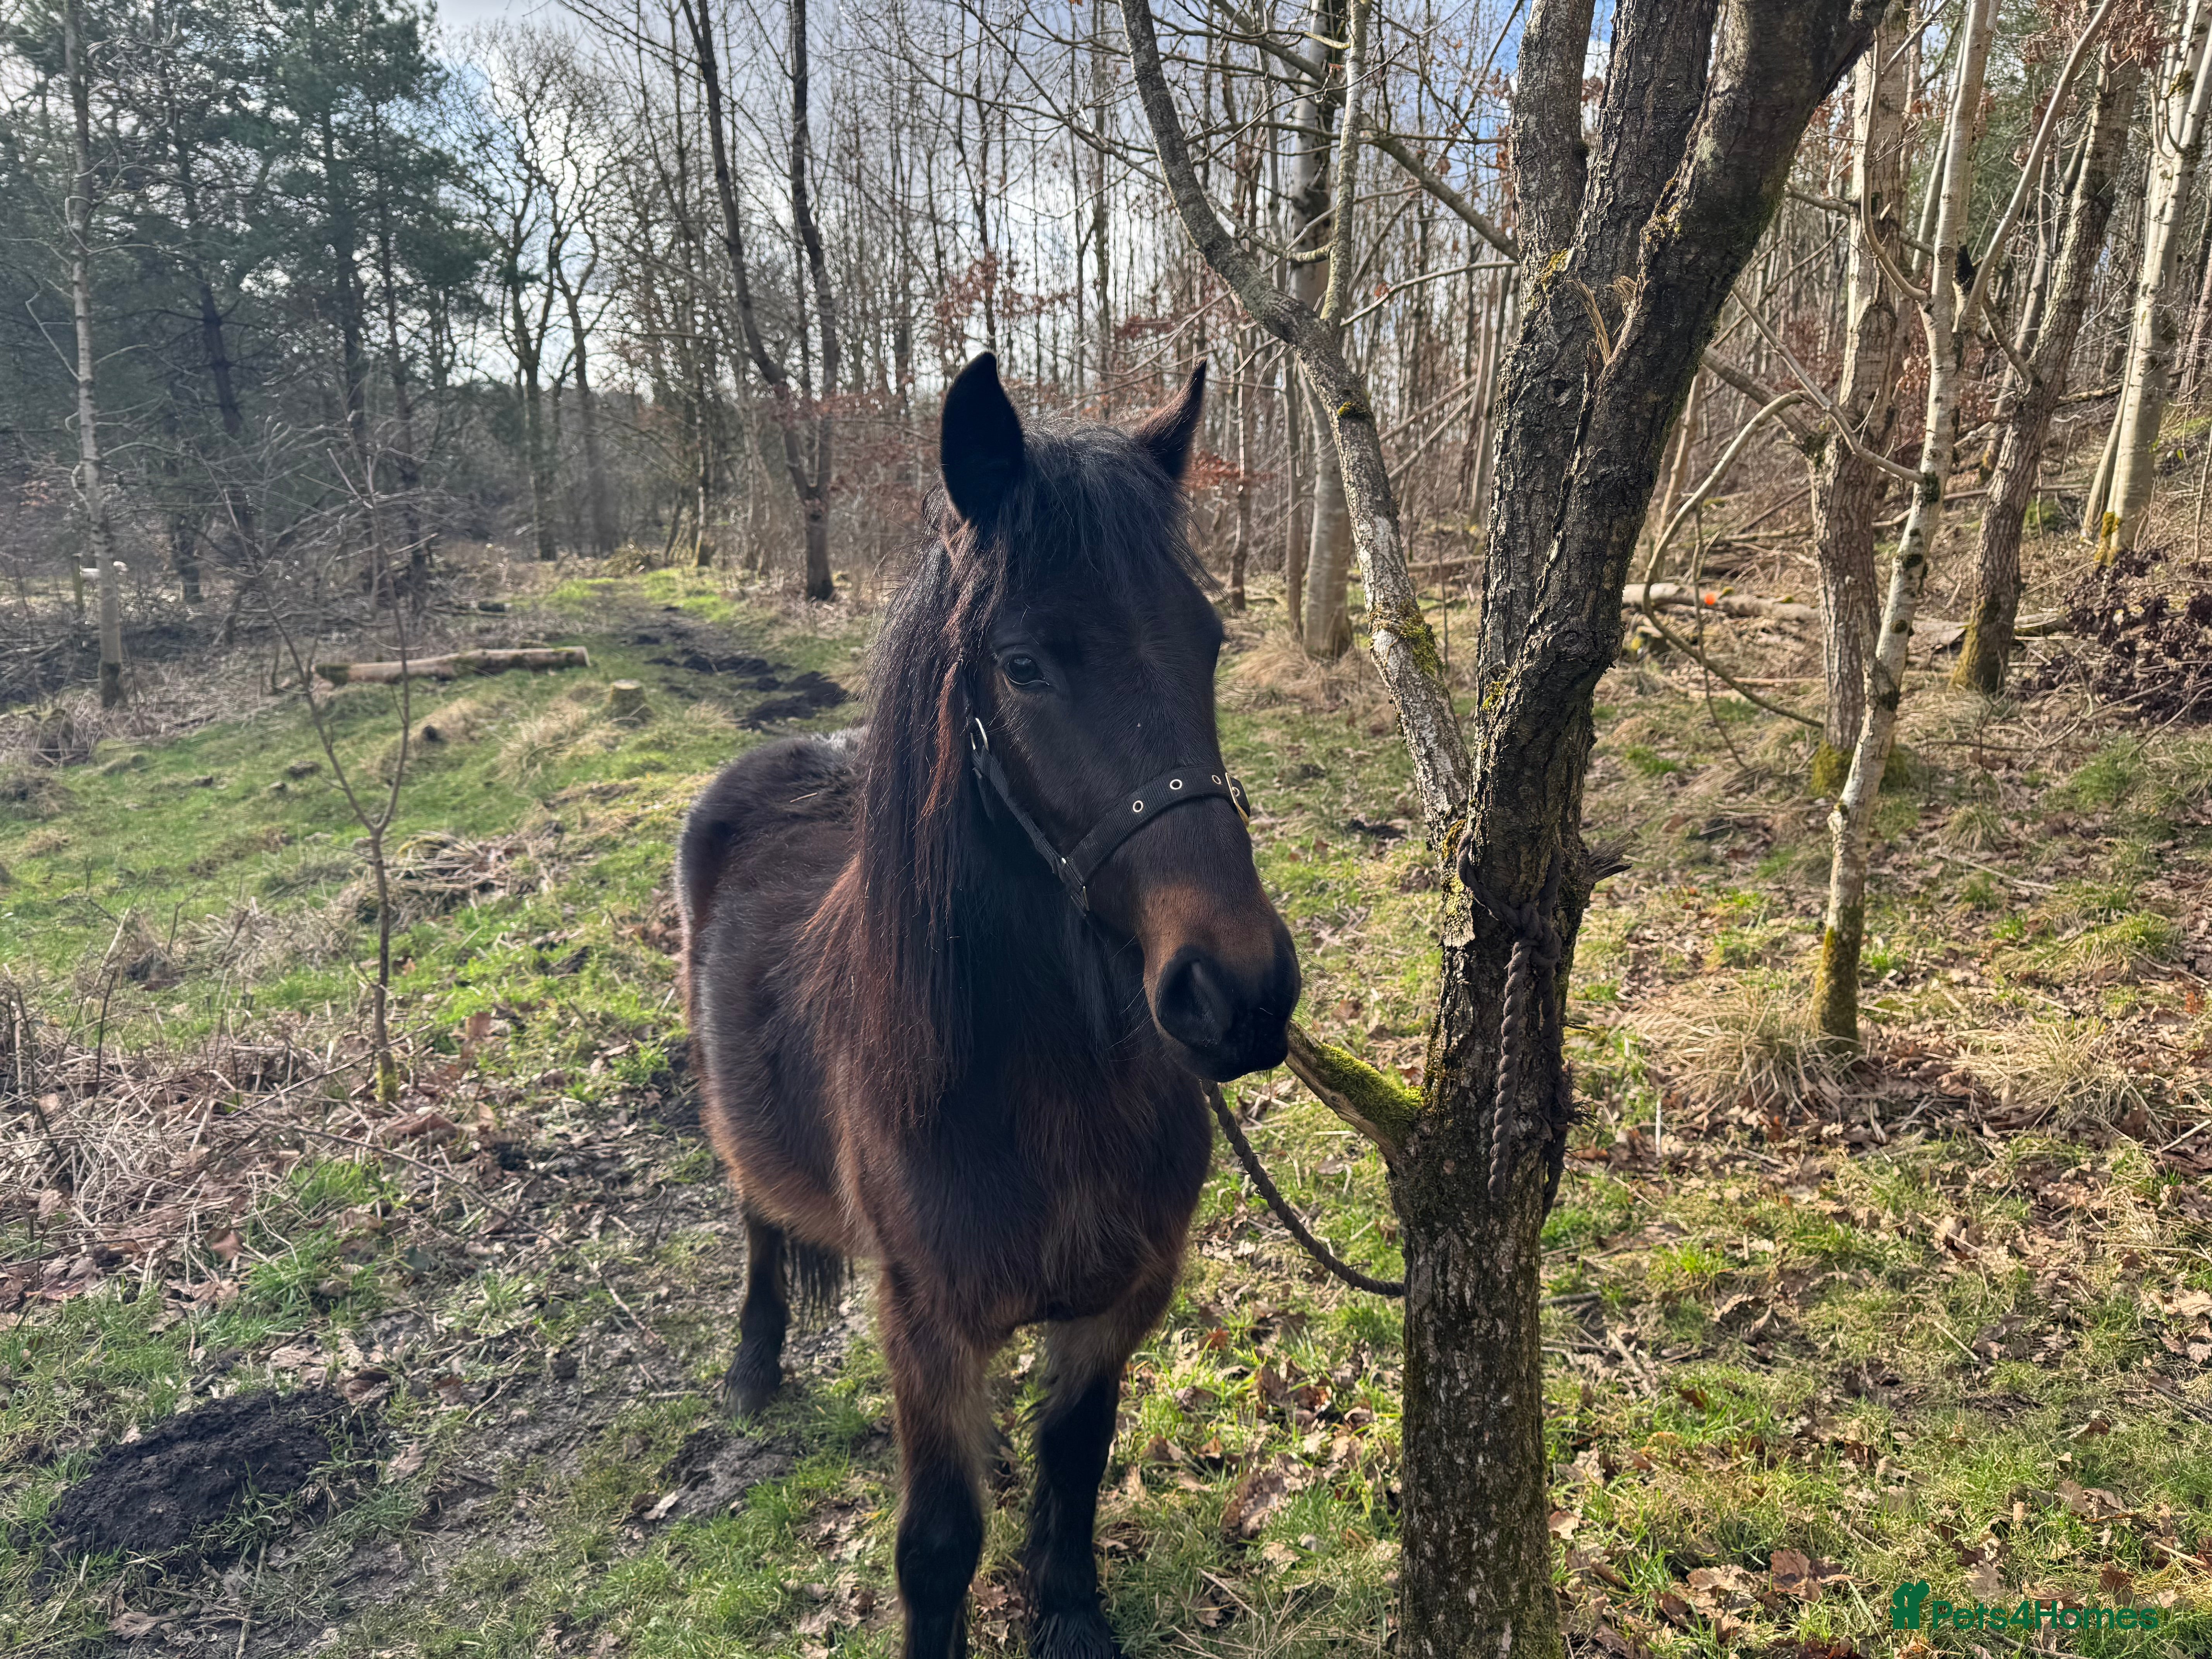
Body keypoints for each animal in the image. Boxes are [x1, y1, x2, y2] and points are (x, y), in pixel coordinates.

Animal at [676, 352, 1300, 1659]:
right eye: (1023, 664)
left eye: (1210, 641)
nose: (1241, 991)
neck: (1041, 1088)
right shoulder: (926, 1324)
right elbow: (938, 1544)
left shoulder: (1117, 1298)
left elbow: (1078, 1458)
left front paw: (1068, 1609)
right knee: (756, 1215)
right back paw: (753, 1365)